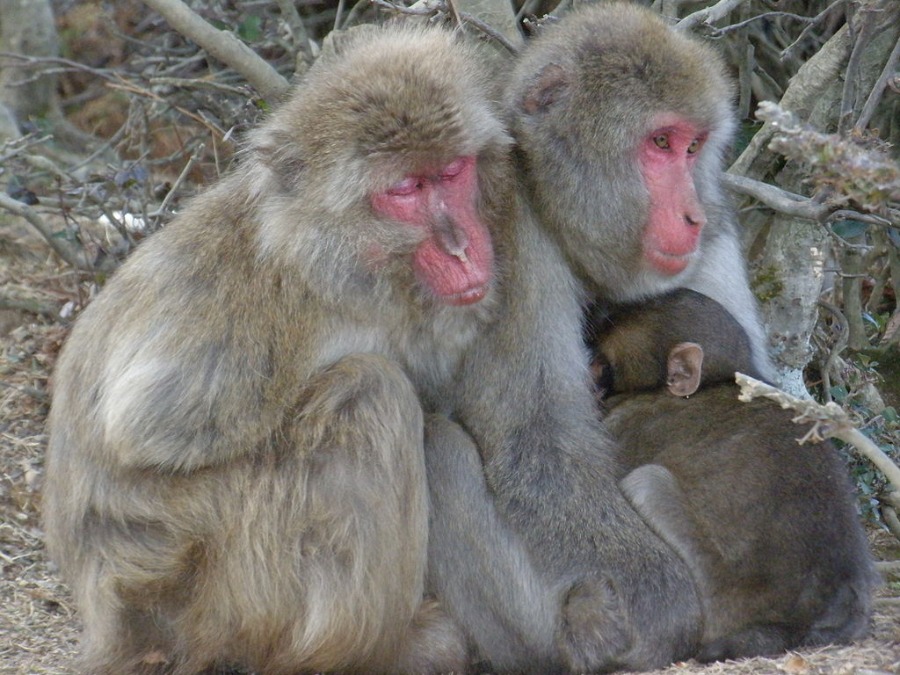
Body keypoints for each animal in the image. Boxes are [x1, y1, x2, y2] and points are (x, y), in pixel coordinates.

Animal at [588, 288, 876, 664]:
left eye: (601, 365)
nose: (586, 377)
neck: (712, 383)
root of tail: (798, 623)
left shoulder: (628, 420)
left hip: (714, 591)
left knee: (647, 481)